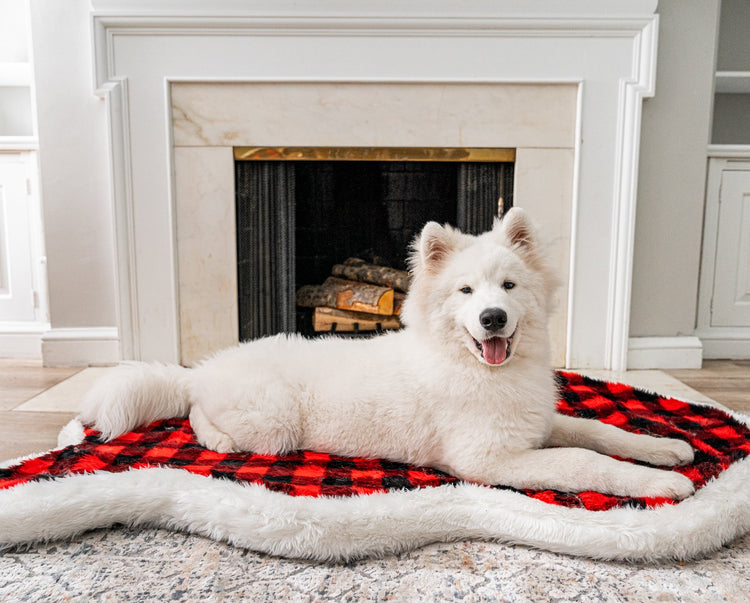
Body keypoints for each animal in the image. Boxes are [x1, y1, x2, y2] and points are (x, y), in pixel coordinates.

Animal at [79, 208, 696, 500]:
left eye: (509, 287)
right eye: (465, 292)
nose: (492, 319)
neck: (481, 369)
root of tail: (205, 369)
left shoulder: (538, 424)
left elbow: (598, 431)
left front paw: (663, 449)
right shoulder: (491, 460)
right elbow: (585, 462)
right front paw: (661, 486)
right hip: (271, 427)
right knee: (195, 415)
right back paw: (216, 440)